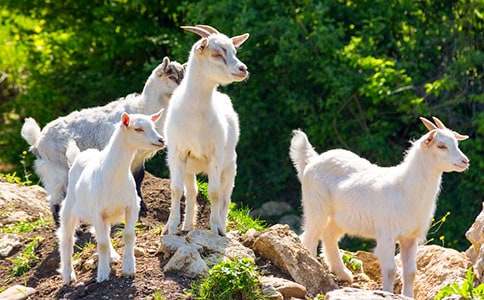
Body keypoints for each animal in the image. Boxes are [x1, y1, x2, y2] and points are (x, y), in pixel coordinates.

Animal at [21, 57, 183, 224]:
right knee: (56, 198)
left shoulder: (138, 159)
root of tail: (37, 142)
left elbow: (138, 179)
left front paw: (142, 207)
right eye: (171, 76)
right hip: (55, 170)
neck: (143, 108)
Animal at [164, 24, 250, 236]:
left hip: (230, 166)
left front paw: (215, 228)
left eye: (235, 51)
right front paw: (171, 227)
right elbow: (176, 189)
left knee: (226, 196)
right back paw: (187, 226)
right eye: (217, 53)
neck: (196, 116)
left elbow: (214, 192)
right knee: (192, 192)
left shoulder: (215, 155)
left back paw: (222, 226)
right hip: (189, 167)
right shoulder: (178, 153)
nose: (243, 69)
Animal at [290, 116, 470, 296]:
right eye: (441, 146)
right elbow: (390, 270)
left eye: (456, 143)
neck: (404, 188)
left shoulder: (410, 237)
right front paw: (387, 292)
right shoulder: (386, 234)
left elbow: (411, 272)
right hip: (316, 206)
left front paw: (407, 295)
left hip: (340, 218)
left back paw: (343, 273)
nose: (465, 161)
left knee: (329, 235)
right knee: (309, 237)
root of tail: (313, 160)